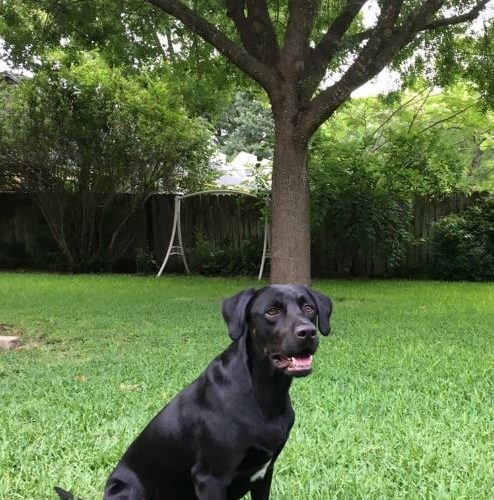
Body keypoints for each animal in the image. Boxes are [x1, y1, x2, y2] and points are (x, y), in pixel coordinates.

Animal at [103, 286, 332, 500]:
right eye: (272, 311)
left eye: (308, 308)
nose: (308, 332)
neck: (264, 393)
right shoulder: (211, 478)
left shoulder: (265, 473)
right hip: (126, 490)